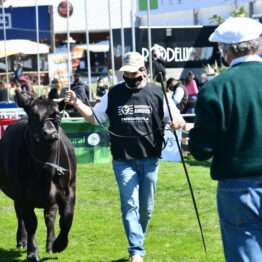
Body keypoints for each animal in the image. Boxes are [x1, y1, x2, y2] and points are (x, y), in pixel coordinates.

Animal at [0, 89, 76, 260]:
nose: (49, 133)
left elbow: (66, 218)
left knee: (50, 216)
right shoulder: (21, 194)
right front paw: (32, 252)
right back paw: (22, 241)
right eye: (33, 114)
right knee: (20, 216)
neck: (45, 170)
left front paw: (59, 244)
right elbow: (31, 222)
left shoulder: (69, 189)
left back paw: (50, 243)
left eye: (57, 114)